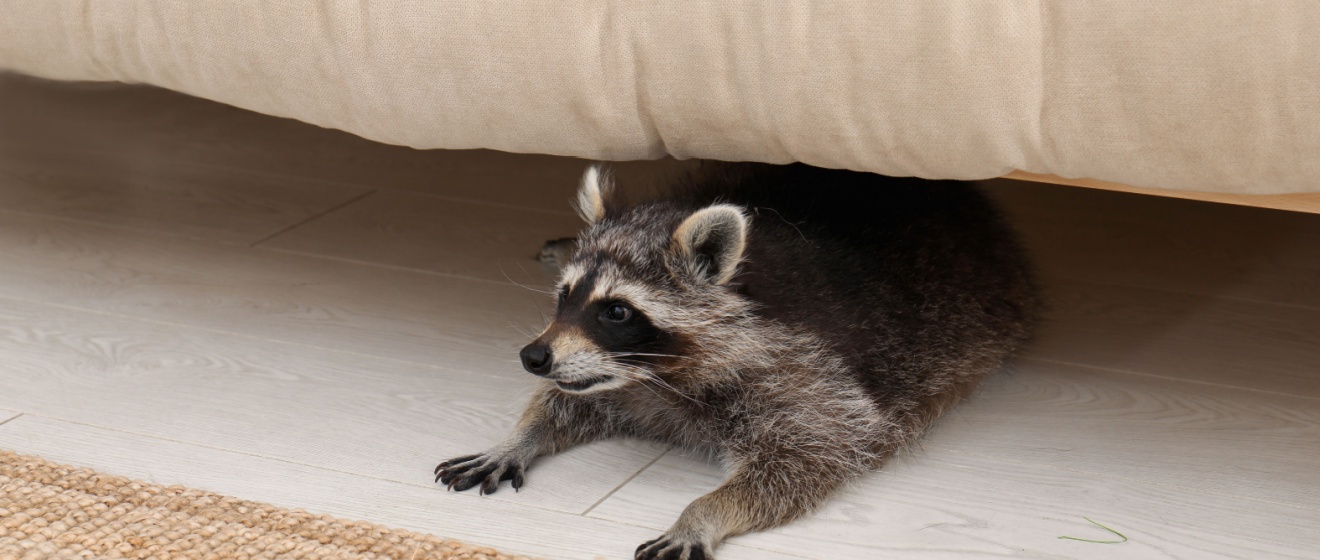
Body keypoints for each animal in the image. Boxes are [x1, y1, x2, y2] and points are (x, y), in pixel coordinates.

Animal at [436, 162, 1038, 559]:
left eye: (617, 310)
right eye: (565, 297)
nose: (533, 356)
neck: (657, 373)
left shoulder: (814, 383)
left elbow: (806, 459)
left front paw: (703, 511)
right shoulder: (610, 373)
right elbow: (570, 399)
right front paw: (520, 435)